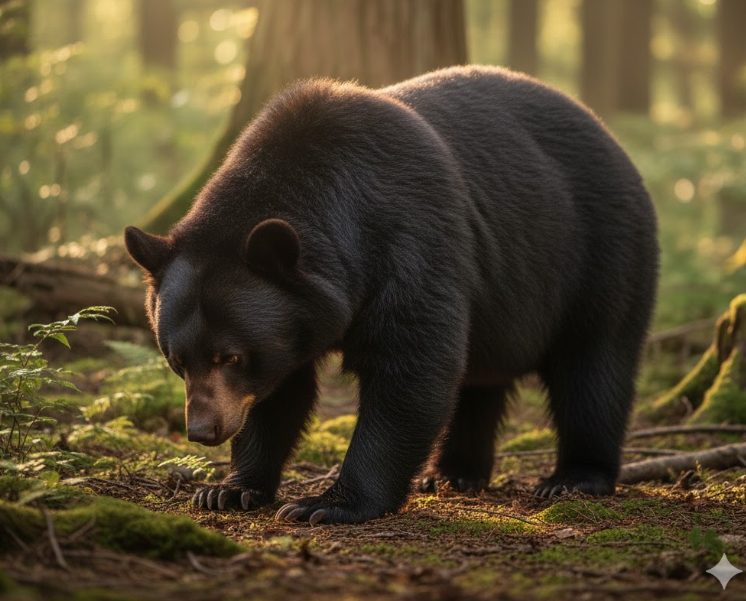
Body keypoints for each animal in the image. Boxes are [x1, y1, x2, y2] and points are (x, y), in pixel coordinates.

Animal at [124, 65, 658, 525]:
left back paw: (573, 478)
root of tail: (610, 136)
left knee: (593, 364)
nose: (203, 430)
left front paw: (327, 503)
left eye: (231, 356)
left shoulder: (408, 238)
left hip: (599, 250)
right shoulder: (297, 318)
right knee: (480, 377)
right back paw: (453, 473)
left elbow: (411, 365)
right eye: (177, 360)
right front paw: (228, 489)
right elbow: (280, 391)